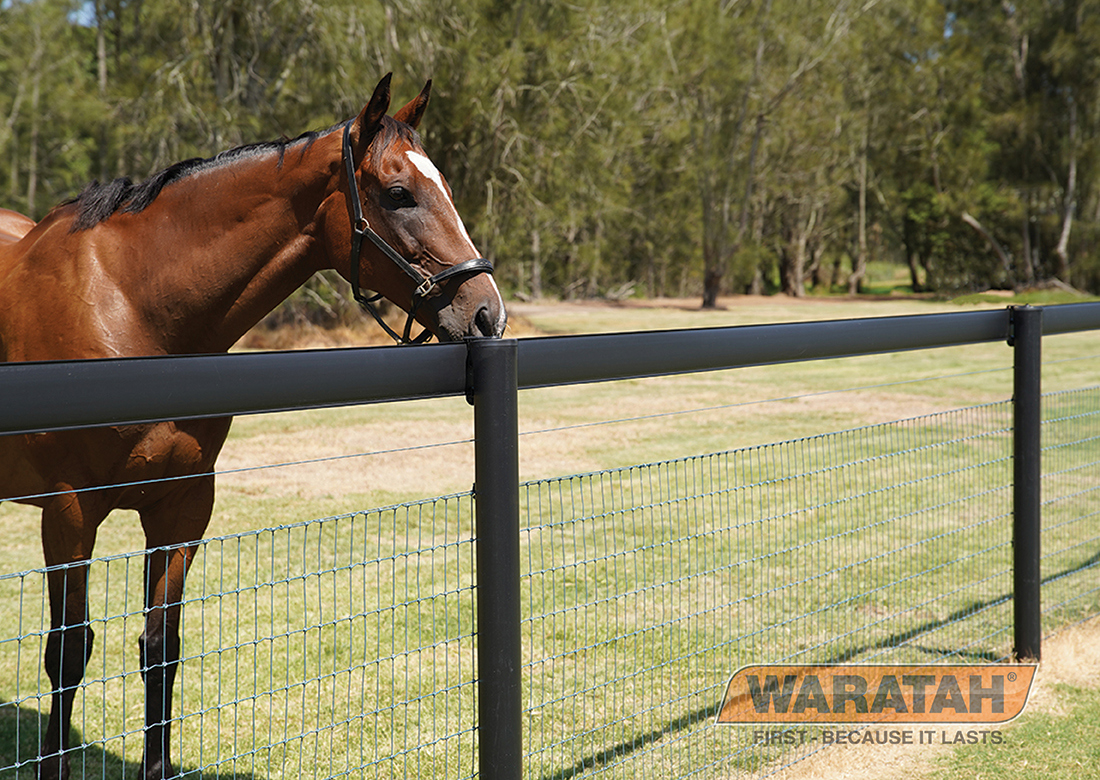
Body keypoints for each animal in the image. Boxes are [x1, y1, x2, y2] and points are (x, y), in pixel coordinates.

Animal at [0, 73, 505, 780]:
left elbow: (160, 648)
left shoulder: (182, 509)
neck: (130, 305)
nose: (487, 312)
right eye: (399, 193)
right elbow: (67, 656)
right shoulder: (69, 513)